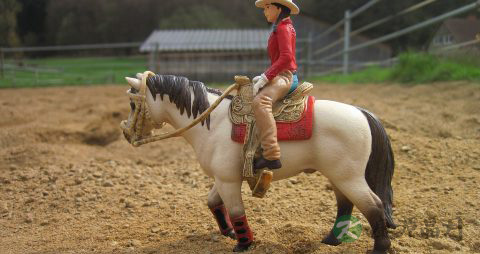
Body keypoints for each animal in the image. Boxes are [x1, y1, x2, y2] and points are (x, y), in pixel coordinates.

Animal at [121, 72, 398, 253]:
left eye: (133, 103)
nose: (126, 134)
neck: (213, 123)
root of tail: (362, 113)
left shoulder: (228, 180)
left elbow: (237, 211)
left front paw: (244, 243)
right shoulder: (223, 177)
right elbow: (213, 203)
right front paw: (229, 232)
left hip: (348, 177)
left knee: (374, 206)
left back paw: (378, 249)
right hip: (338, 176)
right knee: (346, 205)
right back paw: (331, 239)